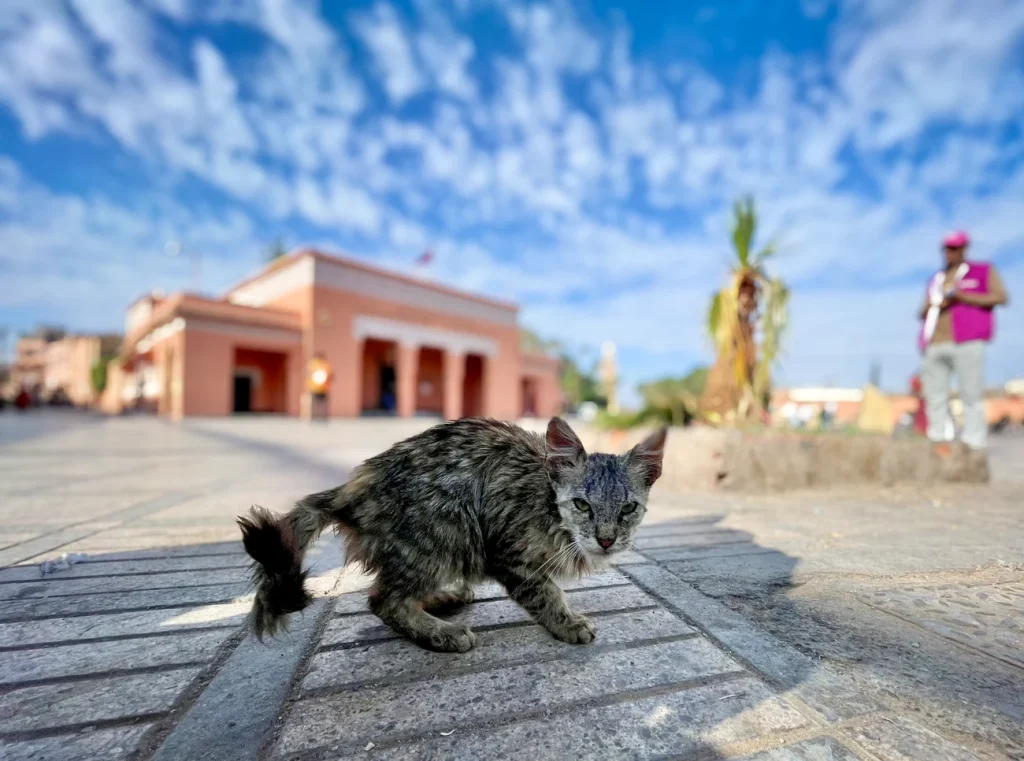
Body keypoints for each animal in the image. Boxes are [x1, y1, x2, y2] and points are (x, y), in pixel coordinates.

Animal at [236, 415, 667, 655]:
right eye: (582, 505)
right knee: (381, 600)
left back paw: (446, 598)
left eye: (627, 509)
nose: (606, 539)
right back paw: (442, 633)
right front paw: (568, 623)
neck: (546, 504)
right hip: (444, 525)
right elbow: (546, 594)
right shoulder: (510, 552)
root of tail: (354, 487)